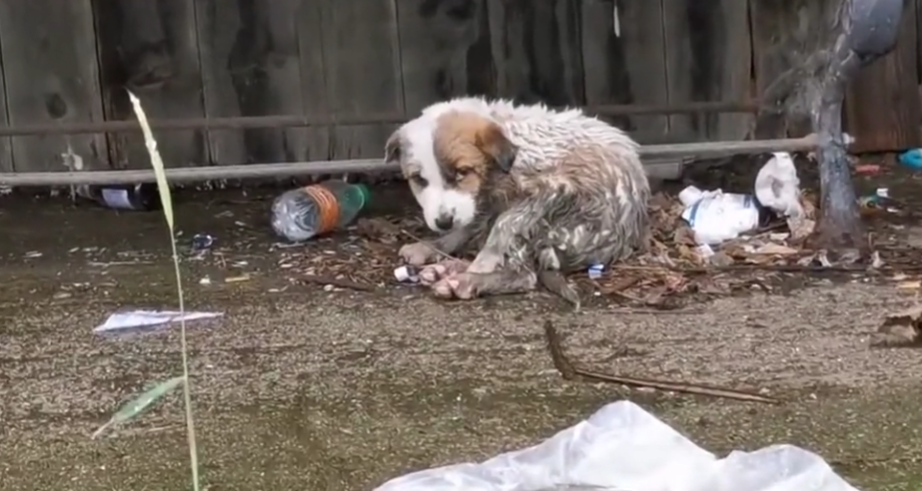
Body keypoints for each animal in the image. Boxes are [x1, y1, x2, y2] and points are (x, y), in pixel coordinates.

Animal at [380, 96, 648, 306]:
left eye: (462, 172)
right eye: (419, 179)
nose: (443, 222)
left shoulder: (553, 188)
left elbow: (505, 225)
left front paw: (481, 262)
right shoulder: (485, 202)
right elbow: (469, 225)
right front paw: (432, 246)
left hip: (561, 222)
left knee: (524, 273)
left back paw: (465, 279)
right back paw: (448, 269)